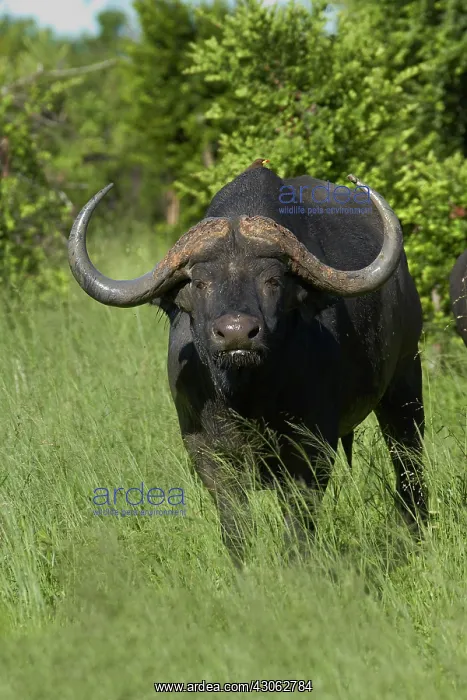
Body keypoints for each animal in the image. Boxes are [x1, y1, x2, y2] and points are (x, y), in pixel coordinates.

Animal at [69, 163, 428, 564]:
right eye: (200, 282)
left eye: (272, 280)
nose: (237, 333)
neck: (246, 398)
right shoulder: (204, 449)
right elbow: (234, 522)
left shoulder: (312, 445)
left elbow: (298, 520)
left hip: (405, 380)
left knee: (408, 458)